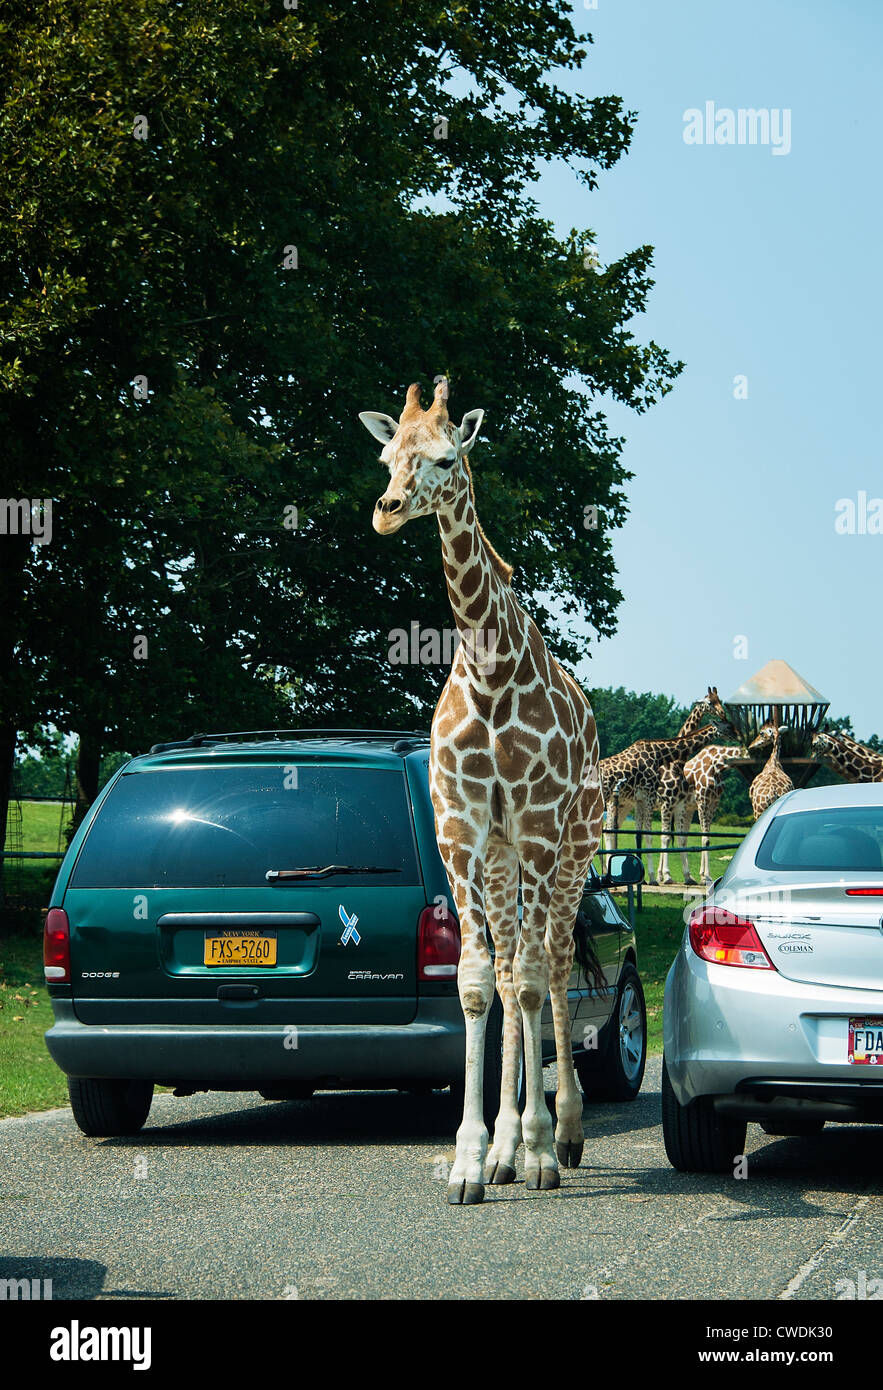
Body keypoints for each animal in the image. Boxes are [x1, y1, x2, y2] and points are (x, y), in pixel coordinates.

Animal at [360, 379, 604, 1205]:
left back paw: (561, 1135)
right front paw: (472, 1160)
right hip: (502, 860)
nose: (386, 509)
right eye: (385, 458)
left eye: (444, 457)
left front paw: (535, 1151)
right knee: (506, 970)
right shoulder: (462, 830)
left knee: (550, 965)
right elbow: (475, 983)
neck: (490, 667)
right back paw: (505, 1146)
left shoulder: (533, 825)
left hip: (571, 848)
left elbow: (528, 980)